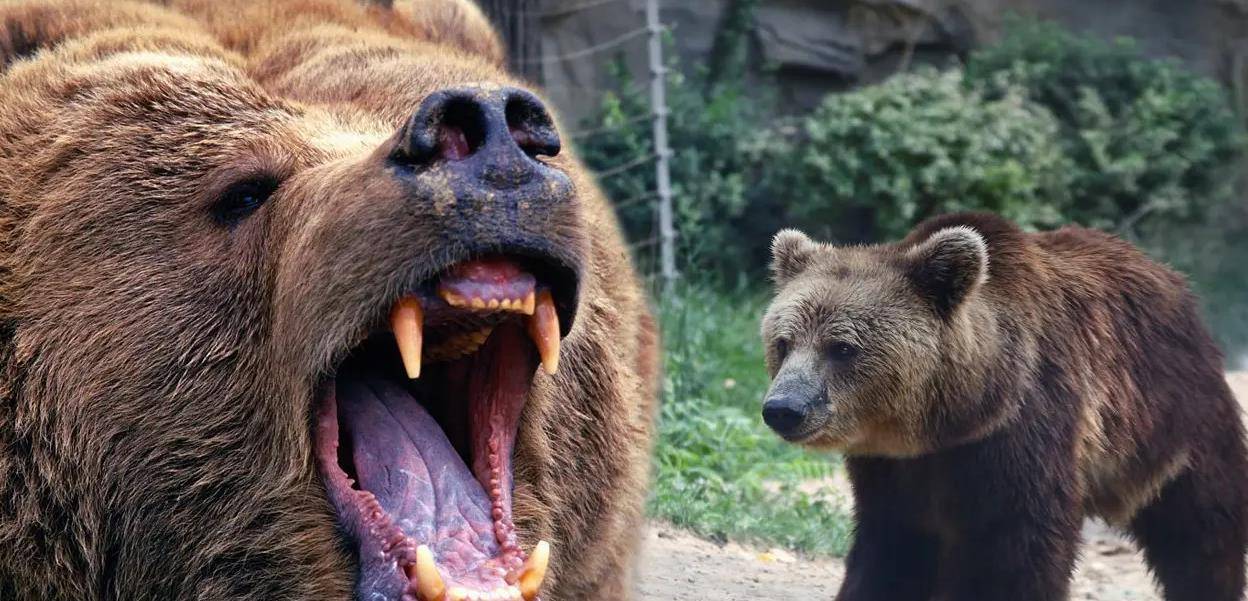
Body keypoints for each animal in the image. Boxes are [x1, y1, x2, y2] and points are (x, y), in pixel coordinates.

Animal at [759, 212, 1248, 600]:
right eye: (784, 342)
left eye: (841, 348)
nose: (783, 408)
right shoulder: (893, 469)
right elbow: (894, 549)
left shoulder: (1024, 434)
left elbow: (1014, 551)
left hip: (1172, 420)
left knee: (1202, 527)